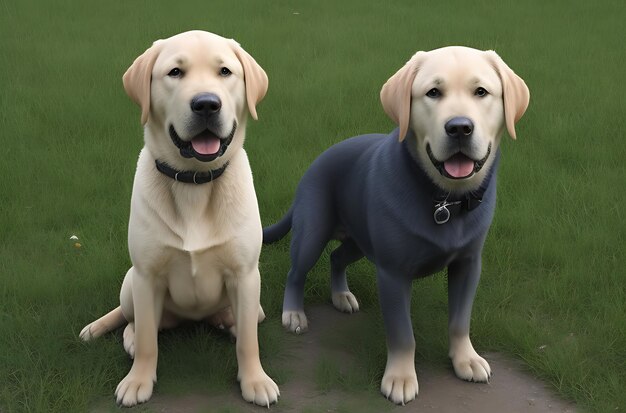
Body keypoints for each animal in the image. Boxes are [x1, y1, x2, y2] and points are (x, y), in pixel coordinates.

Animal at [80, 31, 278, 406]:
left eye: (225, 72)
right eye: (175, 72)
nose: (206, 104)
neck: (194, 181)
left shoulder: (245, 274)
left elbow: (249, 342)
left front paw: (255, 380)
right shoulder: (146, 275)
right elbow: (147, 340)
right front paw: (138, 381)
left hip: (253, 301)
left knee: (245, 322)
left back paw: (227, 323)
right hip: (131, 283)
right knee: (131, 320)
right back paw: (112, 331)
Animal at [262, 46, 528, 404]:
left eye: (481, 92)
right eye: (433, 92)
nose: (459, 128)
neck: (445, 201)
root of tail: (319, 159)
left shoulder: (468, 264)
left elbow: (460, 320)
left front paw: (466, 360)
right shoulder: (393, 273)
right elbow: (403, 333)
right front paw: (400, 378)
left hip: (359, 242)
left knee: (336, 257)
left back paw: (341, 296)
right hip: (312, 232)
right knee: (296, 272)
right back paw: (293, 314)